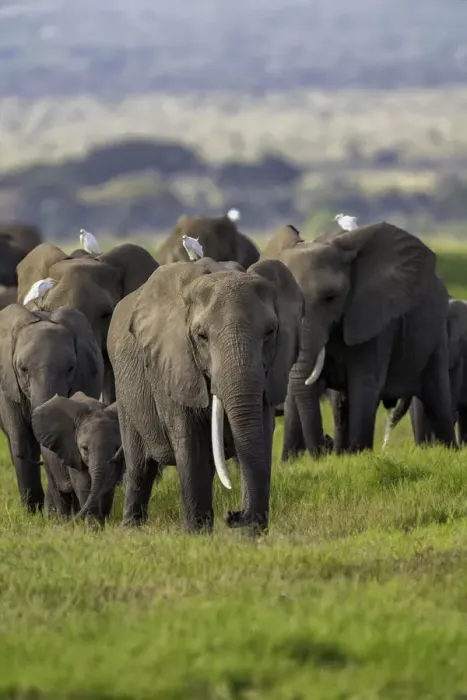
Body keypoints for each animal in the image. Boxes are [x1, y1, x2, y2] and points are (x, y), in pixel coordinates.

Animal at [0, 304, 104, 512]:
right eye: (23, 369)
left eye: (71, 368)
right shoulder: (8, 385)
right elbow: (22, 442)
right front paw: (33, 513)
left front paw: (50, 512)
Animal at [31, 393, 124, 523]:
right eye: (85, 449)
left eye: (117, 448)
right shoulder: (72, 452)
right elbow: (82, 484)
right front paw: (93, 525)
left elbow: (108, 485)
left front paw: (104, 522)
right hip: (47, 458)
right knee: (58, 489)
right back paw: (64, 521)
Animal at [108, 256, 303, 534]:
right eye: (201, 337)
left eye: (270, 333)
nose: (233, 514)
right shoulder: (172, 364)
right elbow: (191, 444)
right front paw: (197, 535)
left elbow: (260, 438)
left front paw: (252, 535)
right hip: (124, 391)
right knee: (139, 468)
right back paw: (131, 530)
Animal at [261, 222, 456, 457]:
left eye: (330, 298)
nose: (325, 445)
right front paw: (291, 462)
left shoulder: (374, 319)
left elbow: (364, 383)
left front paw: (360, 455)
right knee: (342, 405)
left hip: (437, 332)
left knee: (437, 398)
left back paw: (451, 451)